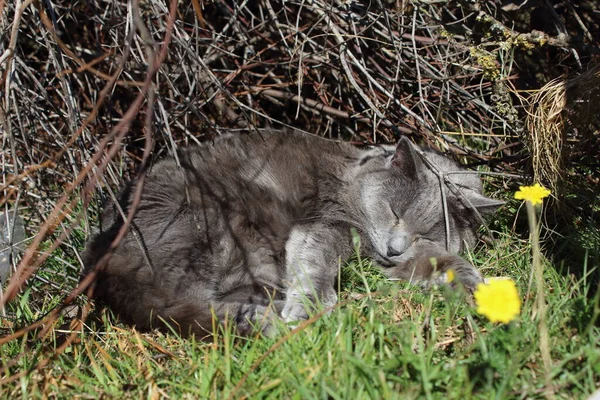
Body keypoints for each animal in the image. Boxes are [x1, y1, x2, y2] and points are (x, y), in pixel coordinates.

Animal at [81, 129, 502, 338]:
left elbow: (444, 261)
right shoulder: (326, 223)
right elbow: (317, 263)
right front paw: (310, 308)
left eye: (424, 232)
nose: (395, 248)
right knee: (184, 303)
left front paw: (479, 291)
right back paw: (266, 319)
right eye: (394, 211)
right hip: (216, 225)